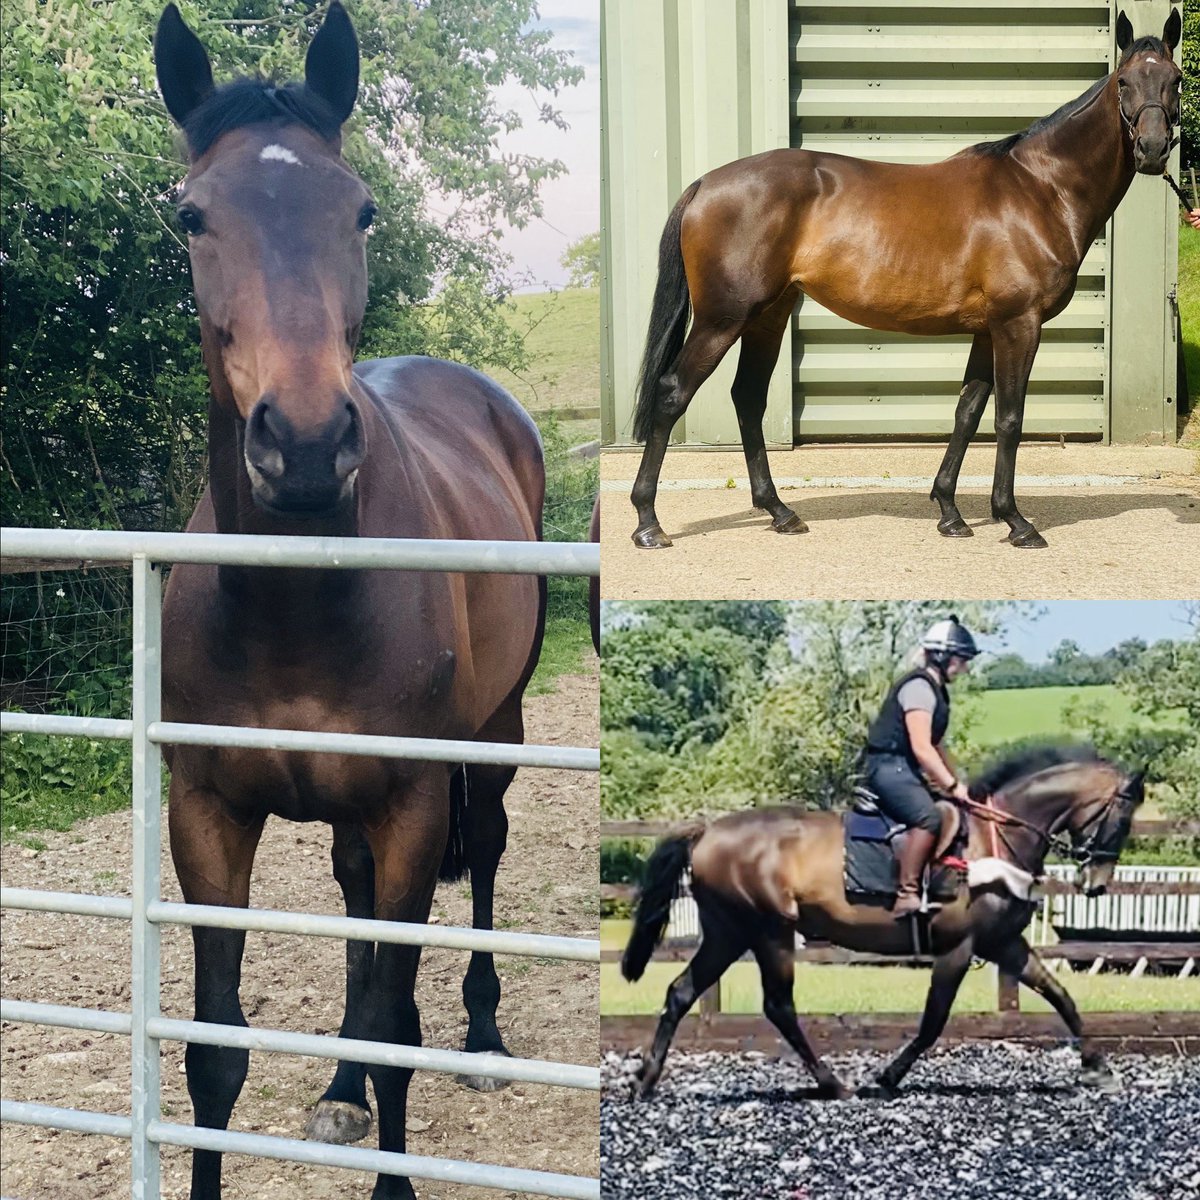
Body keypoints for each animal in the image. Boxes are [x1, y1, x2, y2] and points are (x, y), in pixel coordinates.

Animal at [153, 6, 546, 1198]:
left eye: (360, 207)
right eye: (193, 214)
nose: (309, 445)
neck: (295, 607)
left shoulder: (414, 807)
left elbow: (394, 1023)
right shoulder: (206, 814)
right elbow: (215, 1053)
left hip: (494, 739)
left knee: (483, 861)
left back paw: (483, 1035)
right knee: (353, 895)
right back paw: (338, 1088)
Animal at [621, 746, 1145, 1099]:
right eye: (1121, 820)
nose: (1096, 884)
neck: (994, 840)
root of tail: (707, 831)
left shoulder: (1003, 943)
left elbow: (1062, 997)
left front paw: (1098, 1068)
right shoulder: (958, 948)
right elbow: (933, 1022)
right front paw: (888, 1076)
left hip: (729, 933)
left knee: (682, 992)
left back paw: (646, 1081)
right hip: (768, 932)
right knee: (778, 1006)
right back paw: (833, 1084)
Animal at [628, 10, 1182, 552]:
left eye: (1175, 79)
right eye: (1125, 82)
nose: (1153, 150)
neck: (1040, 189)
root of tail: (705, 184)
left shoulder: (988, 329)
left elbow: (968, 412)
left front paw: (950, 512)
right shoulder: (1018, 324)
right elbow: (1009, 417)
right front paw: (1014, 520)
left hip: (768, 316)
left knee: (748, 397)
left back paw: (780, 512)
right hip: (723, 319)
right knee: (673, 393)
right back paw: (648, 523)